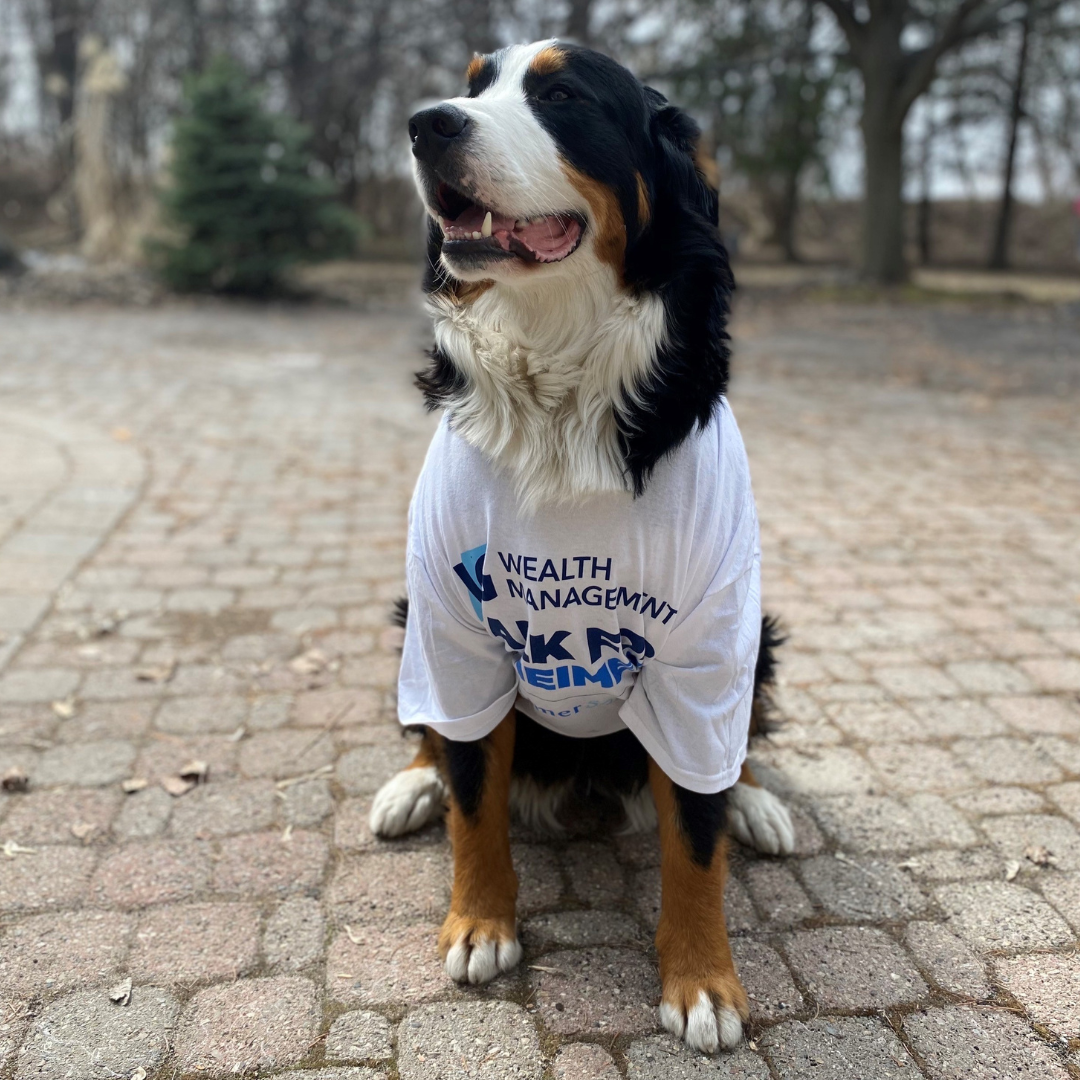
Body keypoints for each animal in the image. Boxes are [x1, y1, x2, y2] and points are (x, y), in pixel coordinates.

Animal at [369, 42, 794, 1054]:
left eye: (562, 95)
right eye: (473, 84)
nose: (425, 124)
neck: (559, 384)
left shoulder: (708, 648)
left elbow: (696, 840)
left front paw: (703, 979)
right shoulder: (455, 625)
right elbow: (475, 795)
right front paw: (480, 921)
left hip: (761, 631)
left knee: (734, 754)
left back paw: (757, 799)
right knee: (432, 732)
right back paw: (412, 786)